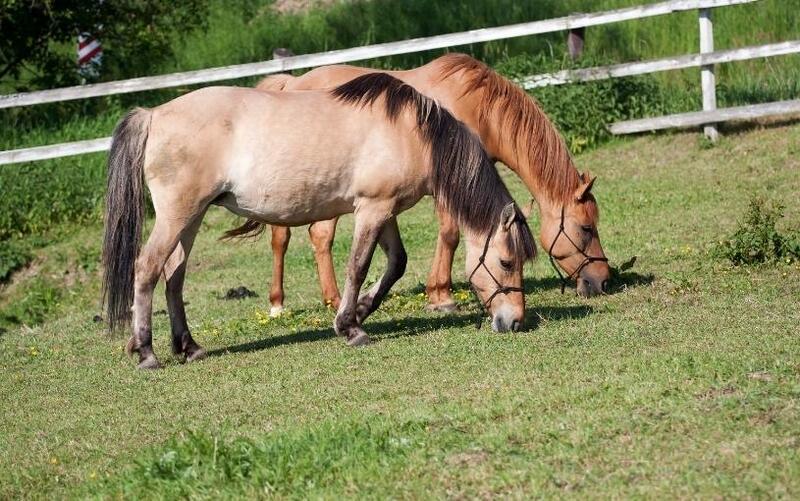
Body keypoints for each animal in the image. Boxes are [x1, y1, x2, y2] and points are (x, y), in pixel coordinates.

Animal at [101, 73, 536, 368]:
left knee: (173, 275)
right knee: (147, 268)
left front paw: (361, 309)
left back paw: (188, 347)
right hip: (178, 214)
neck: (411, 132)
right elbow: (358, 265)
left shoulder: (384, 211)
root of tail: (153, 115)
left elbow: (396, 264)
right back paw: (147, 352)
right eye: (506, 262)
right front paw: (351, 327)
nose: (515, 322)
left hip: (190, 218)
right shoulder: (372, 210)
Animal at [228, 52, 608, 314]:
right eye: (586, 228)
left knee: (291, 237)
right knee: (311, 236)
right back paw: (321, 301)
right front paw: (440, 295)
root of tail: (290, 83)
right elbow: (450, 233)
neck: (477, 107)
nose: (604, 280)